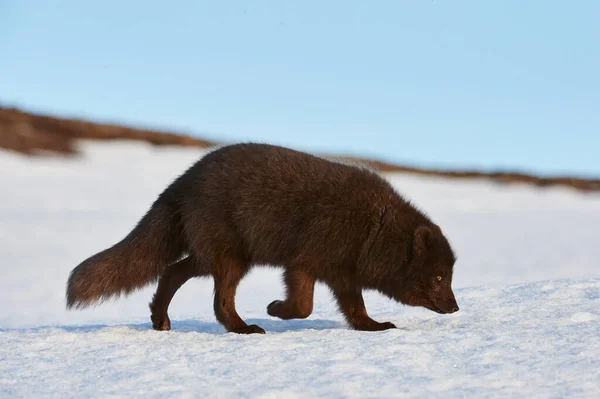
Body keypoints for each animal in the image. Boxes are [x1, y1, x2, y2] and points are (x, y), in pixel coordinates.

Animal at [67, 144, 460, 334]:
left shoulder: (342, 275)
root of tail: (181, 181)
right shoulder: (303, 263)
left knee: (173, 273)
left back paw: (161, 320)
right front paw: (275, 310)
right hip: (230, 259)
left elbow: (355, 310)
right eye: (439, 277)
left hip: (213, 257)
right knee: (219, 303)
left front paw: (374, 328)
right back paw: (244, 329)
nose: (456, 308)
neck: (373, 228)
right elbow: (303, 307)